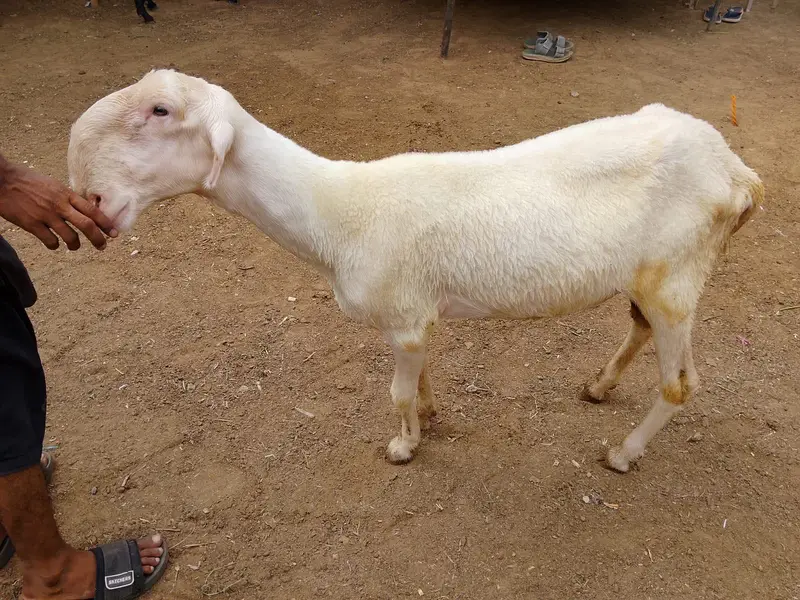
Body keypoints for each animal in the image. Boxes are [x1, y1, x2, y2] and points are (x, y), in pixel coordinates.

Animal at [67, 69, 763, 473]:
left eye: (160, 111)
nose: (91, 199)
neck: (335, 211)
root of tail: (737, 172)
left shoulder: (400, 317)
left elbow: (396, 391)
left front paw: (403, 445)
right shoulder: (415, 316)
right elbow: (421, 376)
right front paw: (429, 417)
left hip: (676, 278)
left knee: (680, 386)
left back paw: (623, 452)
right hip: (655, 276)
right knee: (644, 332)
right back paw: (598, 386)